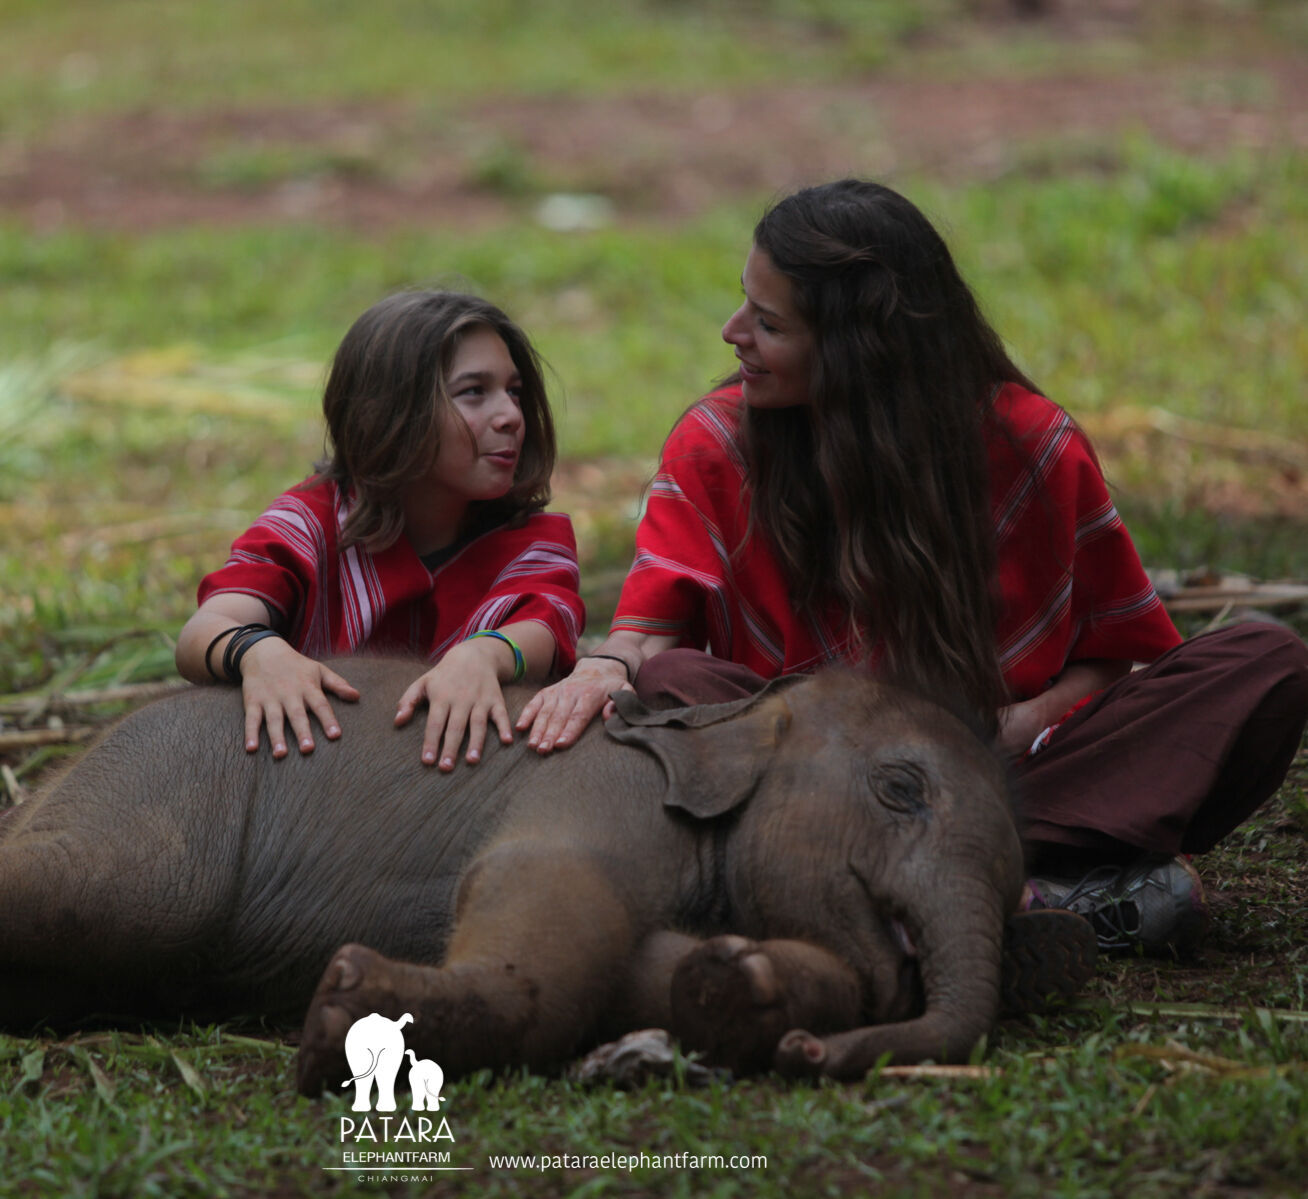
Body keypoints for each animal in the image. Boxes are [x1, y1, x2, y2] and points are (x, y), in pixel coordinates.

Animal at [0, 657, 1093, 1083]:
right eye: (901, 789)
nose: (809, 1056)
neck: (730, 718)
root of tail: (65, 762)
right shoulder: (595, 796)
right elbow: (553, 913)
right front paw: (348, 1005)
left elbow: (641, 966)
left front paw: (733, 988)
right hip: (162, 796)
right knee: (109, 889)